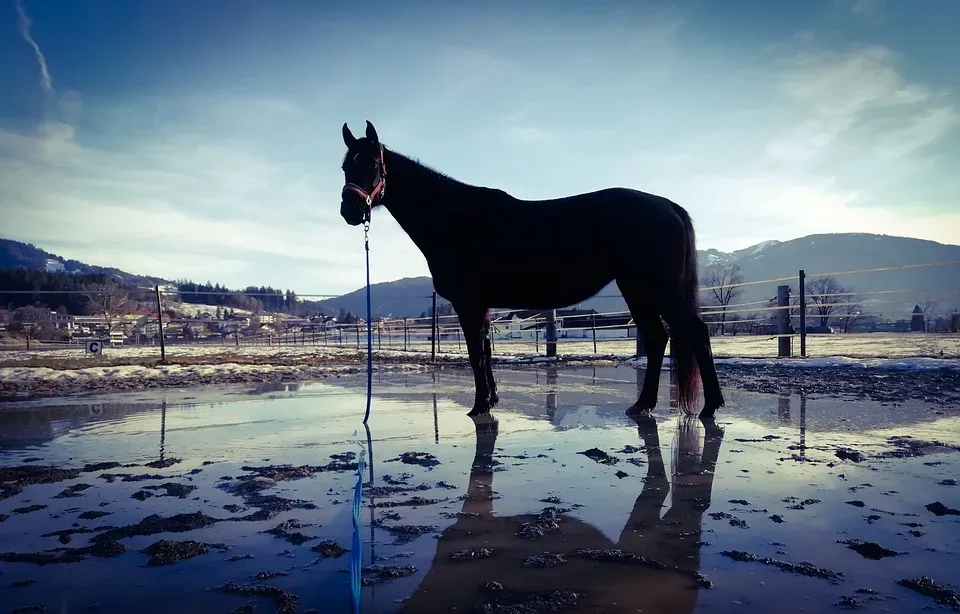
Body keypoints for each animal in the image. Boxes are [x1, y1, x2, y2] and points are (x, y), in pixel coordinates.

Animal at [342, 120, 724, 418]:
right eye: (346, 166)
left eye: (372, 164)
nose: (350, 211)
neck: (455, 219)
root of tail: (669, 206)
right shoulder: (482, 306)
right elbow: (486, 351)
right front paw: (490, 400)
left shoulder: (468, 303)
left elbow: (476, 354)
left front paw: (479, 406)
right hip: (637, 289)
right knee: (659, 337)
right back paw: (642, 405)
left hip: (657, 289)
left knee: (695, 333)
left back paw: (710, 407)